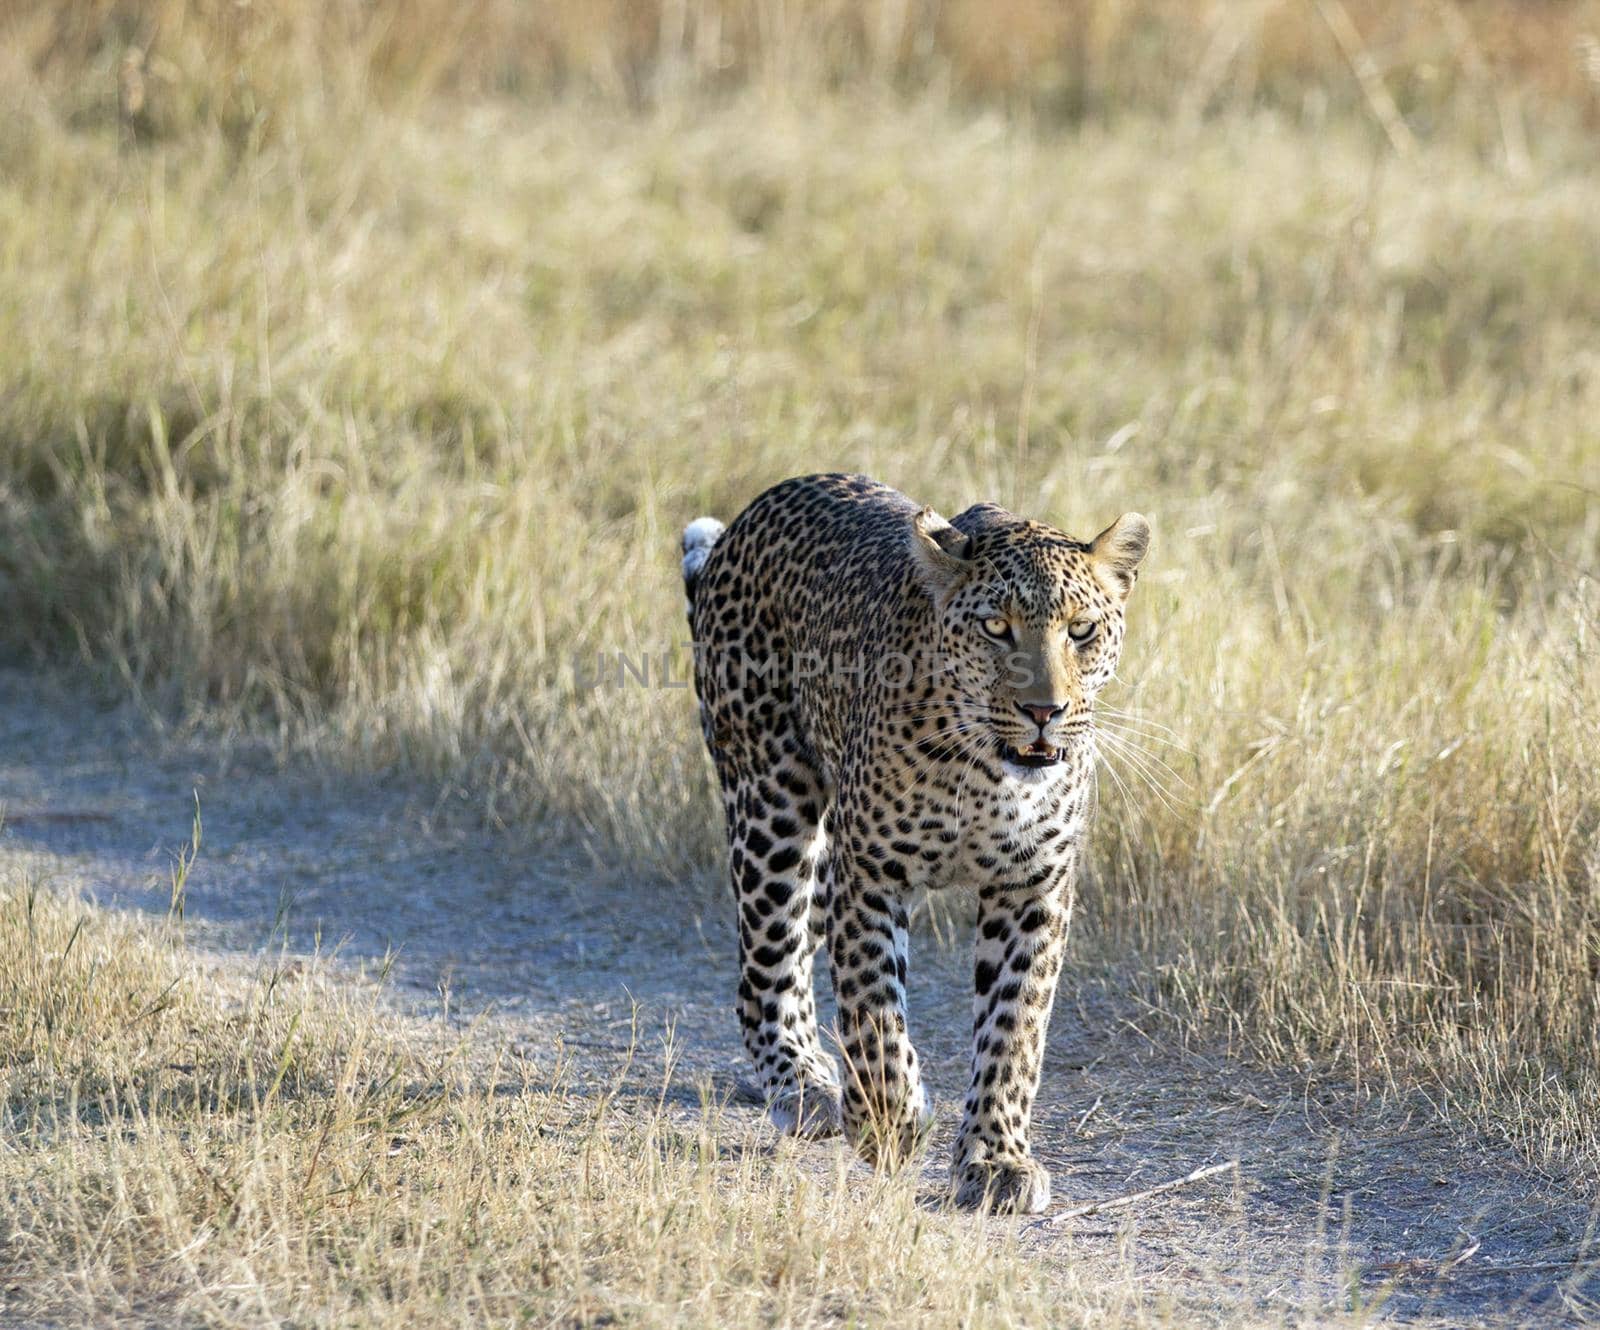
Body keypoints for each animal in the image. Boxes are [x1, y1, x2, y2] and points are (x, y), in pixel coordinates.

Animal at [681, 473, 1145, 1209]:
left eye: (1081, 631)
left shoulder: (1032, 887)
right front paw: (888, 1121)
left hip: (820, 858)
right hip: (773, 805)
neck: (988, 773)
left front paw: (996, 1159)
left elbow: (1015, 1028)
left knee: (798, 945)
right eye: (995, 628)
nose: (1044, 712)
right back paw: (803, 1085)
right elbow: (873, 1006)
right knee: (767, 959)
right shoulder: (872, 872)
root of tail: (752, 515)